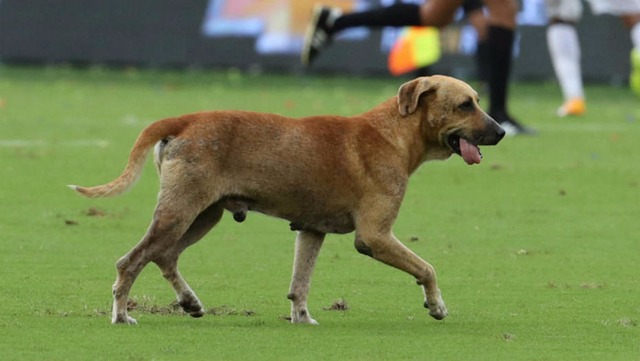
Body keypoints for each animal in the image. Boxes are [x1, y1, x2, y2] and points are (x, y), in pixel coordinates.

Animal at [70, 75, 504, 324]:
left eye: (477, 100)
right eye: (466, 104)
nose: (501, 132)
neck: (392, 133)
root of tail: (185, 120)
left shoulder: (310, 230)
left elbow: (300, 283)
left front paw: (301, 317)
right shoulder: (375, 236)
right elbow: (427, 268)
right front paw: (436, 305)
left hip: (201, 216)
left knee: (164, 256)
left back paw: (190, 302)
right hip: (180, 212)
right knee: (132, 261)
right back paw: (122, 315)